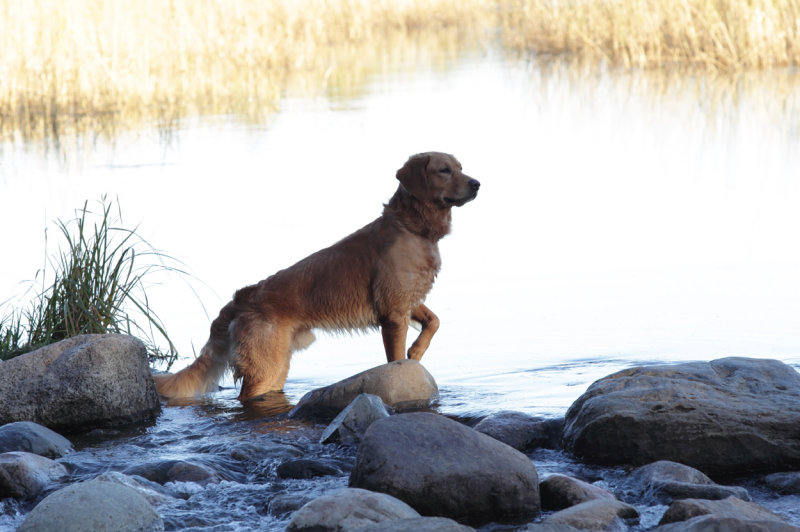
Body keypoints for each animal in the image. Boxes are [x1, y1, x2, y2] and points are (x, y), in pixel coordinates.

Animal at [155, 152, 482, 402]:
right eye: (444, 170)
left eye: (461, 167)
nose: (478, 183)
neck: (412, 227)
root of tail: (242, 297)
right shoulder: (392, 314)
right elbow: (396, 356)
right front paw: (407, 359)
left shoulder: (408, 300)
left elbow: (434, 321)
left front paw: (416, 350)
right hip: (264, 369)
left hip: (278, 367)